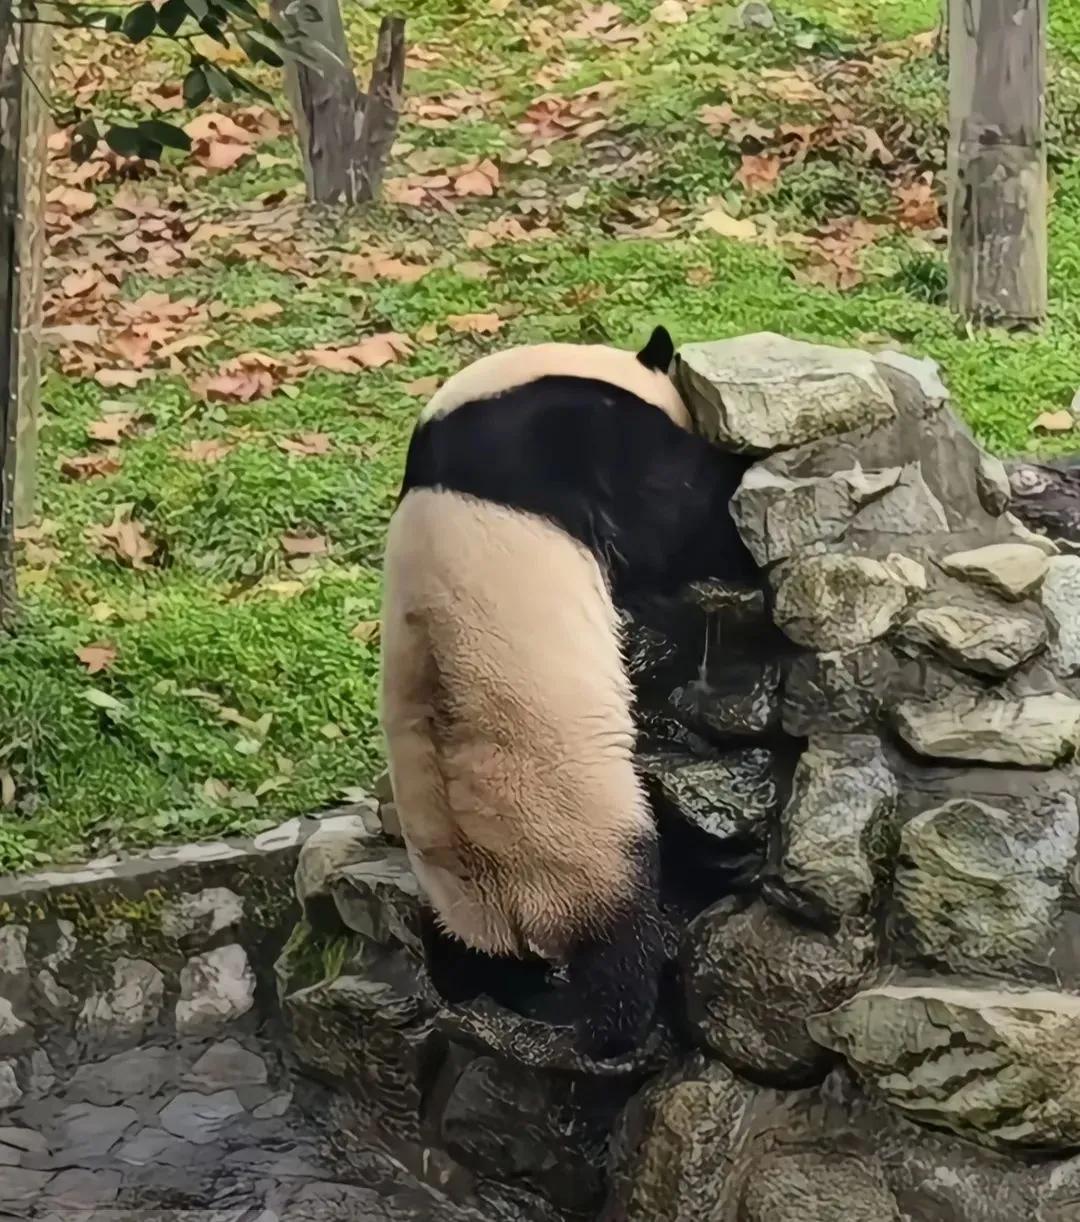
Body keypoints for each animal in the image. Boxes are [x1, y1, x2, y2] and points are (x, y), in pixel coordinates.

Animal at [378, 327, 757, 1060]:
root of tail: (507, 908)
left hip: (455, 888)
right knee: (620, 940)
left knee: (463, 954)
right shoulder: (583, 438)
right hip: (579, 839)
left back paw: (495, 995)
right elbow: (670, 516)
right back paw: (622, 1029)